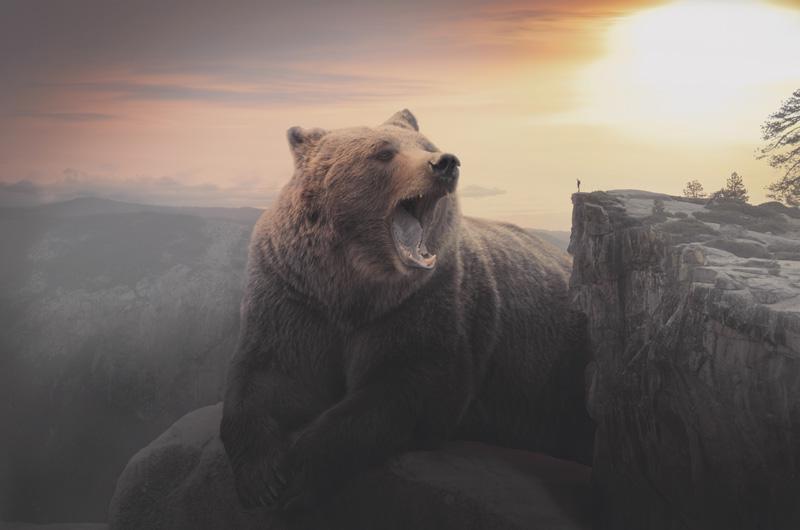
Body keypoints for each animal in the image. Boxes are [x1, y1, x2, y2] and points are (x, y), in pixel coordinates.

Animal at [220, 109, 593, 511]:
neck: (352, 289)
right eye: (383, 152)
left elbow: (403, 389)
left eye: (427, 145)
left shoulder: (421, 306)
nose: (445, 163)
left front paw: (301, 476)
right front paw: (264, 479)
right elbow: (270, 374)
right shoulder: (294, 296)